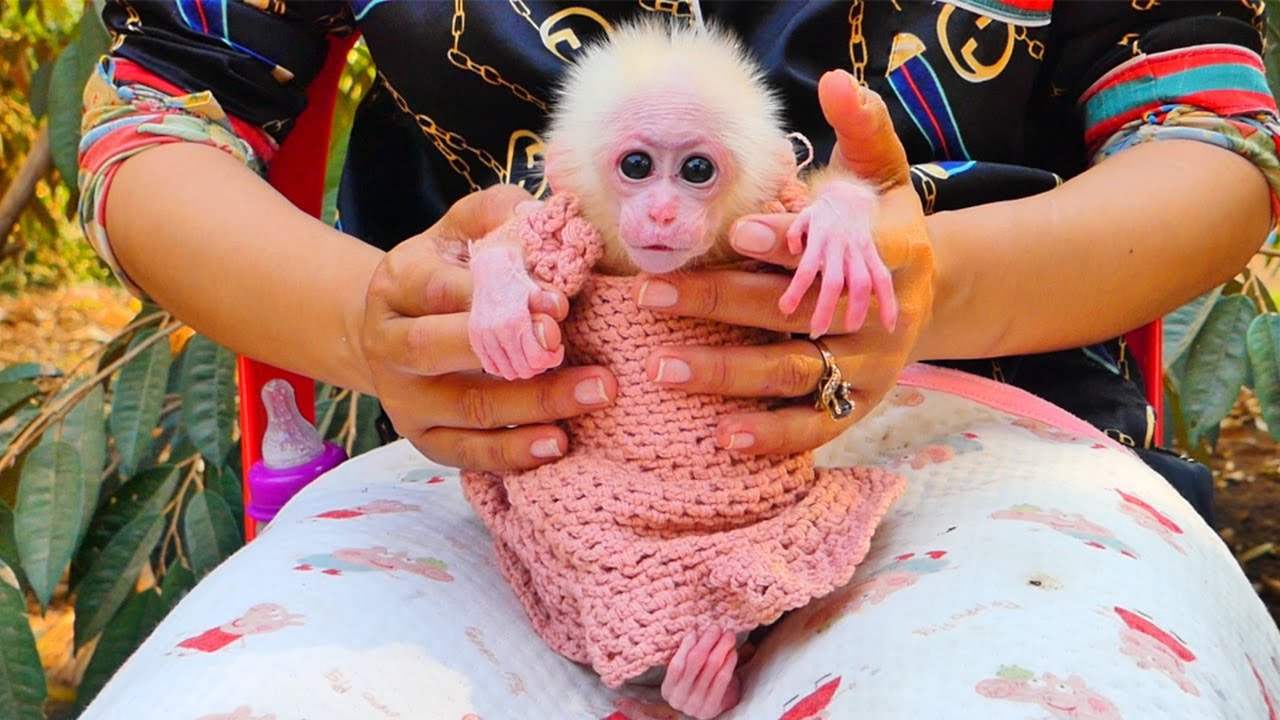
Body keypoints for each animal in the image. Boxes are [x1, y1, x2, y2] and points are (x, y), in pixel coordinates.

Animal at [462, 19, 896, 719]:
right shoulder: (568, 228)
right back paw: (692, 679)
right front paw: (501, 300)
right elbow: (522, 245)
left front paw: (839, 226)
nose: (663, 212)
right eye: (637, 166)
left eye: (696, 170)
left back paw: (700, 679)